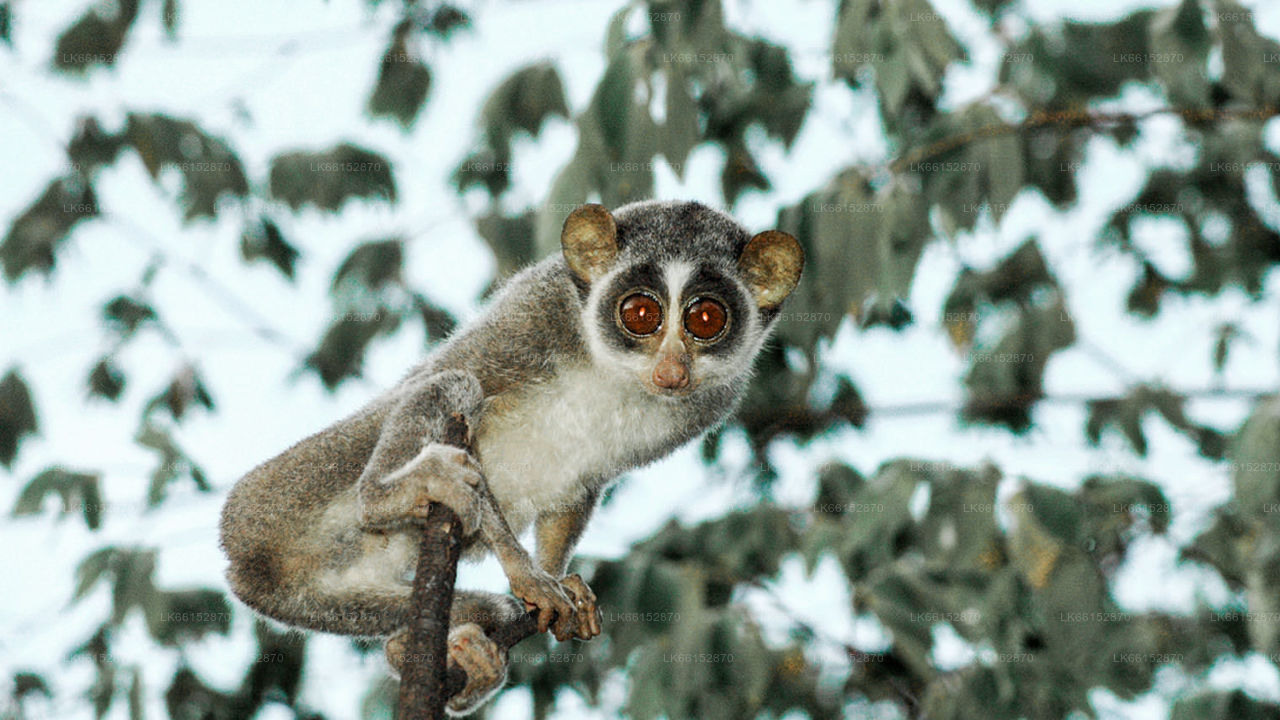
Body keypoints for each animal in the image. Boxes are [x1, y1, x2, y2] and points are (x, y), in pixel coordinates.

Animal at [218, 200, 803, 715]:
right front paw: (530, 579)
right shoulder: (532, 319)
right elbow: (454, 381)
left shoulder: (708, 404)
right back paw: (395, 496)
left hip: (328, 597)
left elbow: (581, 489)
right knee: (448, 385)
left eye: (706, 319)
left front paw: (561, 584)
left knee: (473, 610)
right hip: (292, 489)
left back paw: (438, 656)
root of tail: (244, 564)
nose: (672, 370)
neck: (613, 371)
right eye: (641, 314)